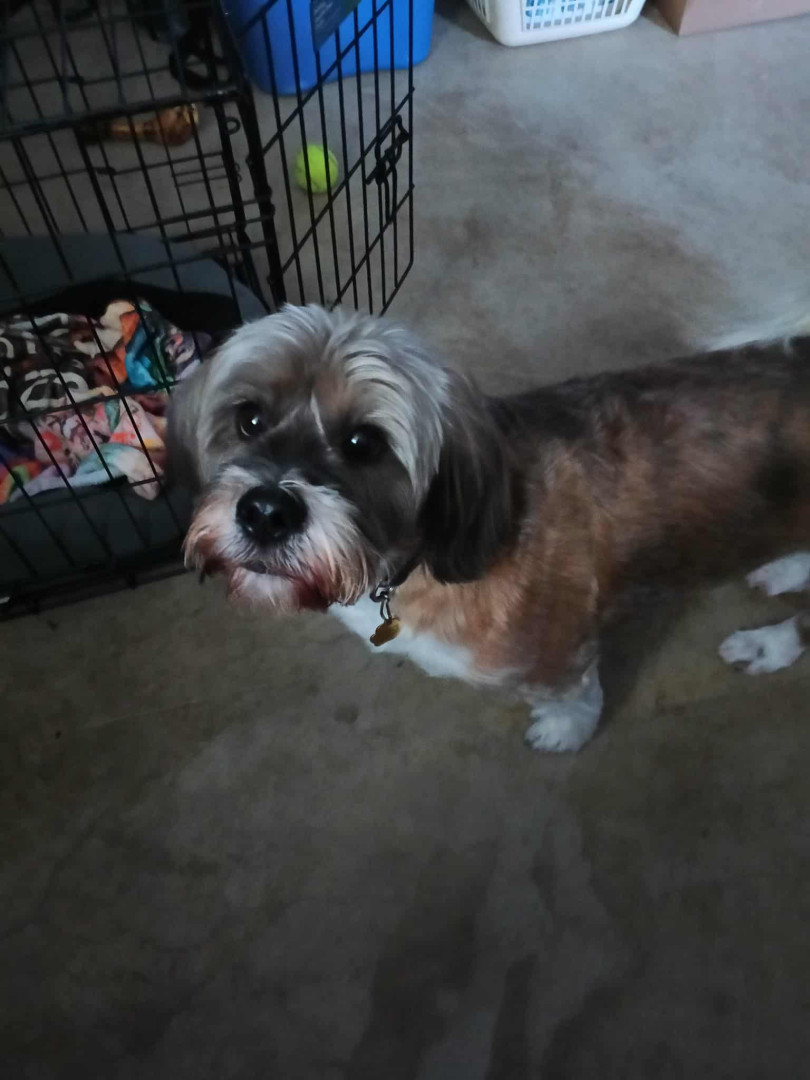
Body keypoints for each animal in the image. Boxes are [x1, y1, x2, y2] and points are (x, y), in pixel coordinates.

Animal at [168, 305, 810, 752]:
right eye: (249, 419)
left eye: (364, 443)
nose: (266, 512)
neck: (419, 559)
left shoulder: (559, 654)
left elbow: (575, 697)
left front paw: (564, 730)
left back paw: (768, 644)